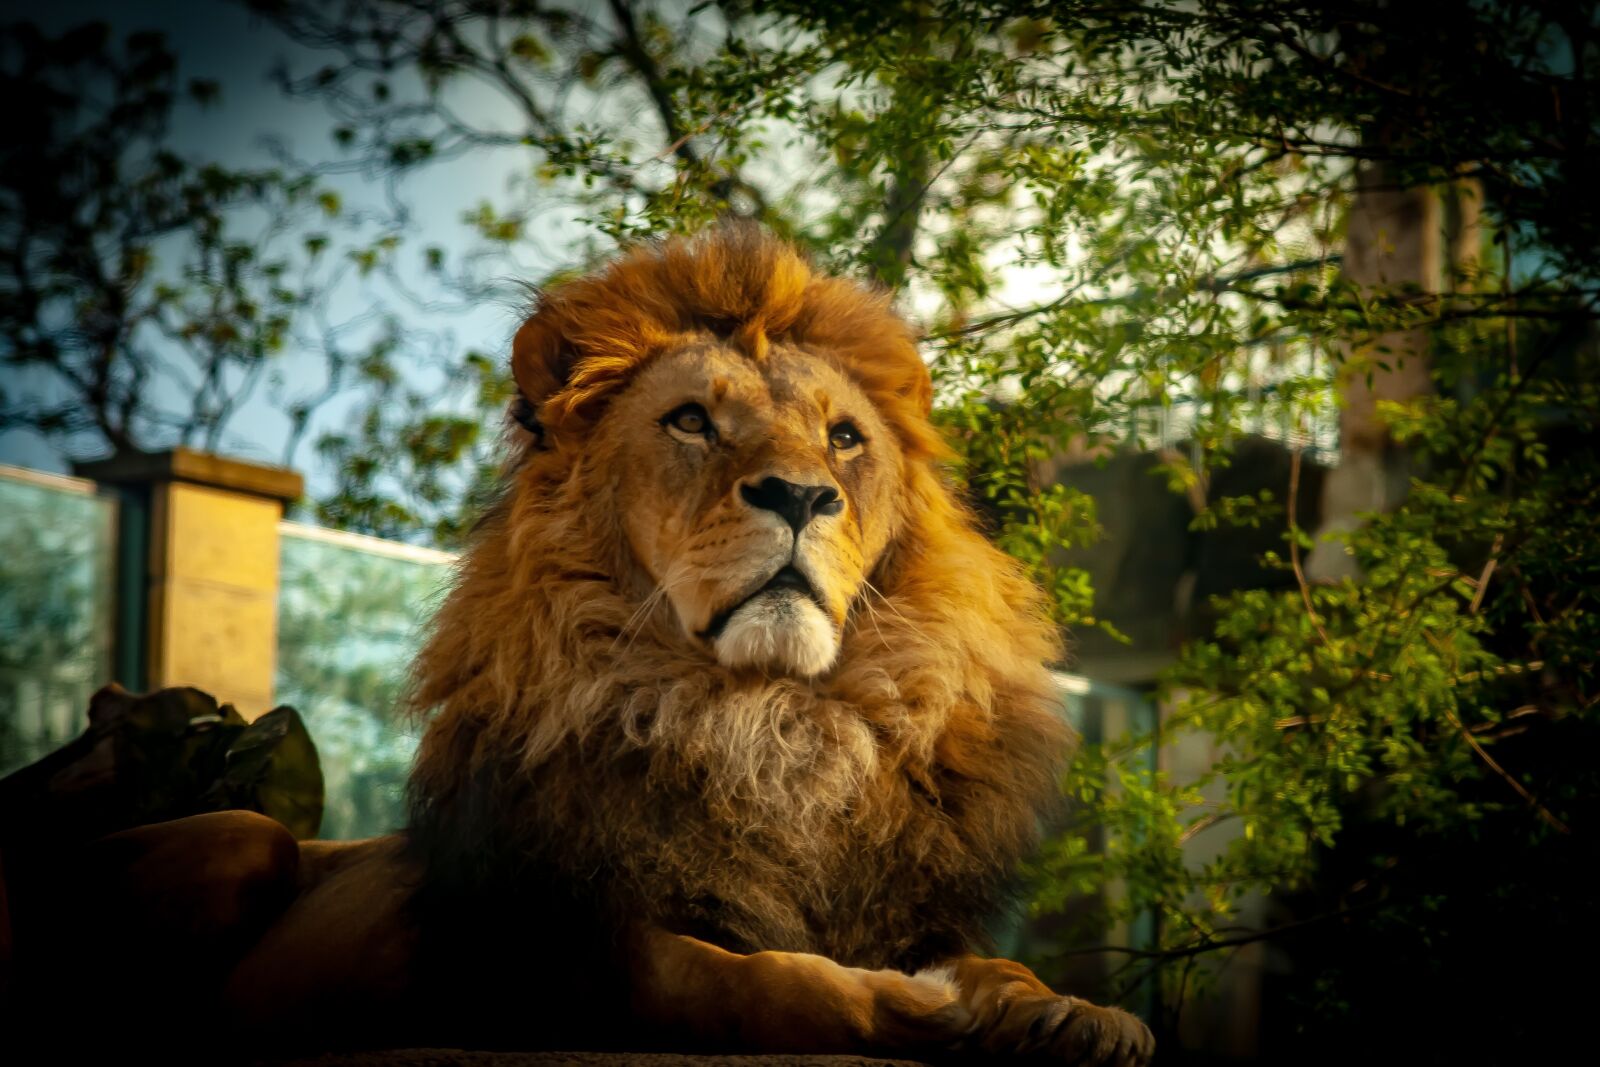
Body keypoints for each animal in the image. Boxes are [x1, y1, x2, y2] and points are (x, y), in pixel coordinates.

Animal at [8, 225, 1153, 1064]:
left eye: (844, 438)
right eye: (691, 421)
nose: (801, 496)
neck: (767, 720)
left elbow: (994, 968)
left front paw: (1072, 1012)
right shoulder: (559, 954)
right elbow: (750, 979)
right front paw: (920, 1008)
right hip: (243, 831)